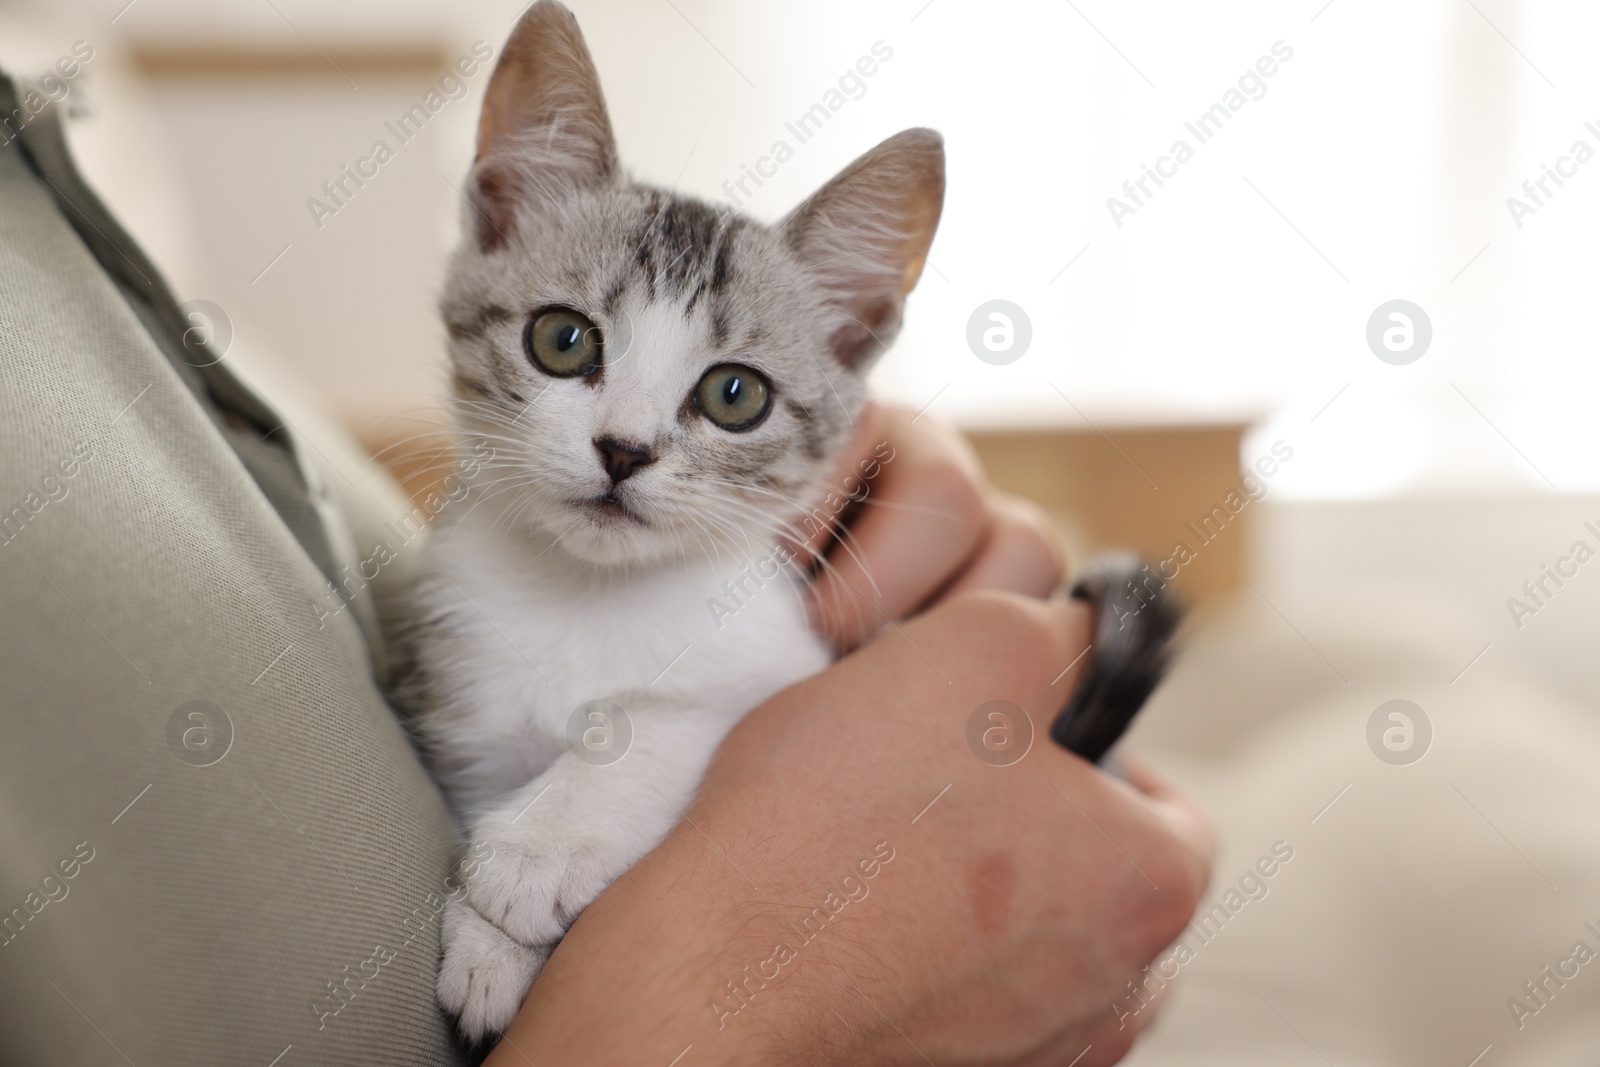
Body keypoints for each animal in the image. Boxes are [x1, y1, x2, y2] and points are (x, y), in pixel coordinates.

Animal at [400, 0, 1177, 1036]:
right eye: (561, 339)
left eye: (735, 395)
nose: (623, 449)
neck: (588, 599)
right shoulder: (466, 699)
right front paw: (490, 942)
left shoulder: (786, 659)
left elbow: (667, 718)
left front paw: (540, 848)